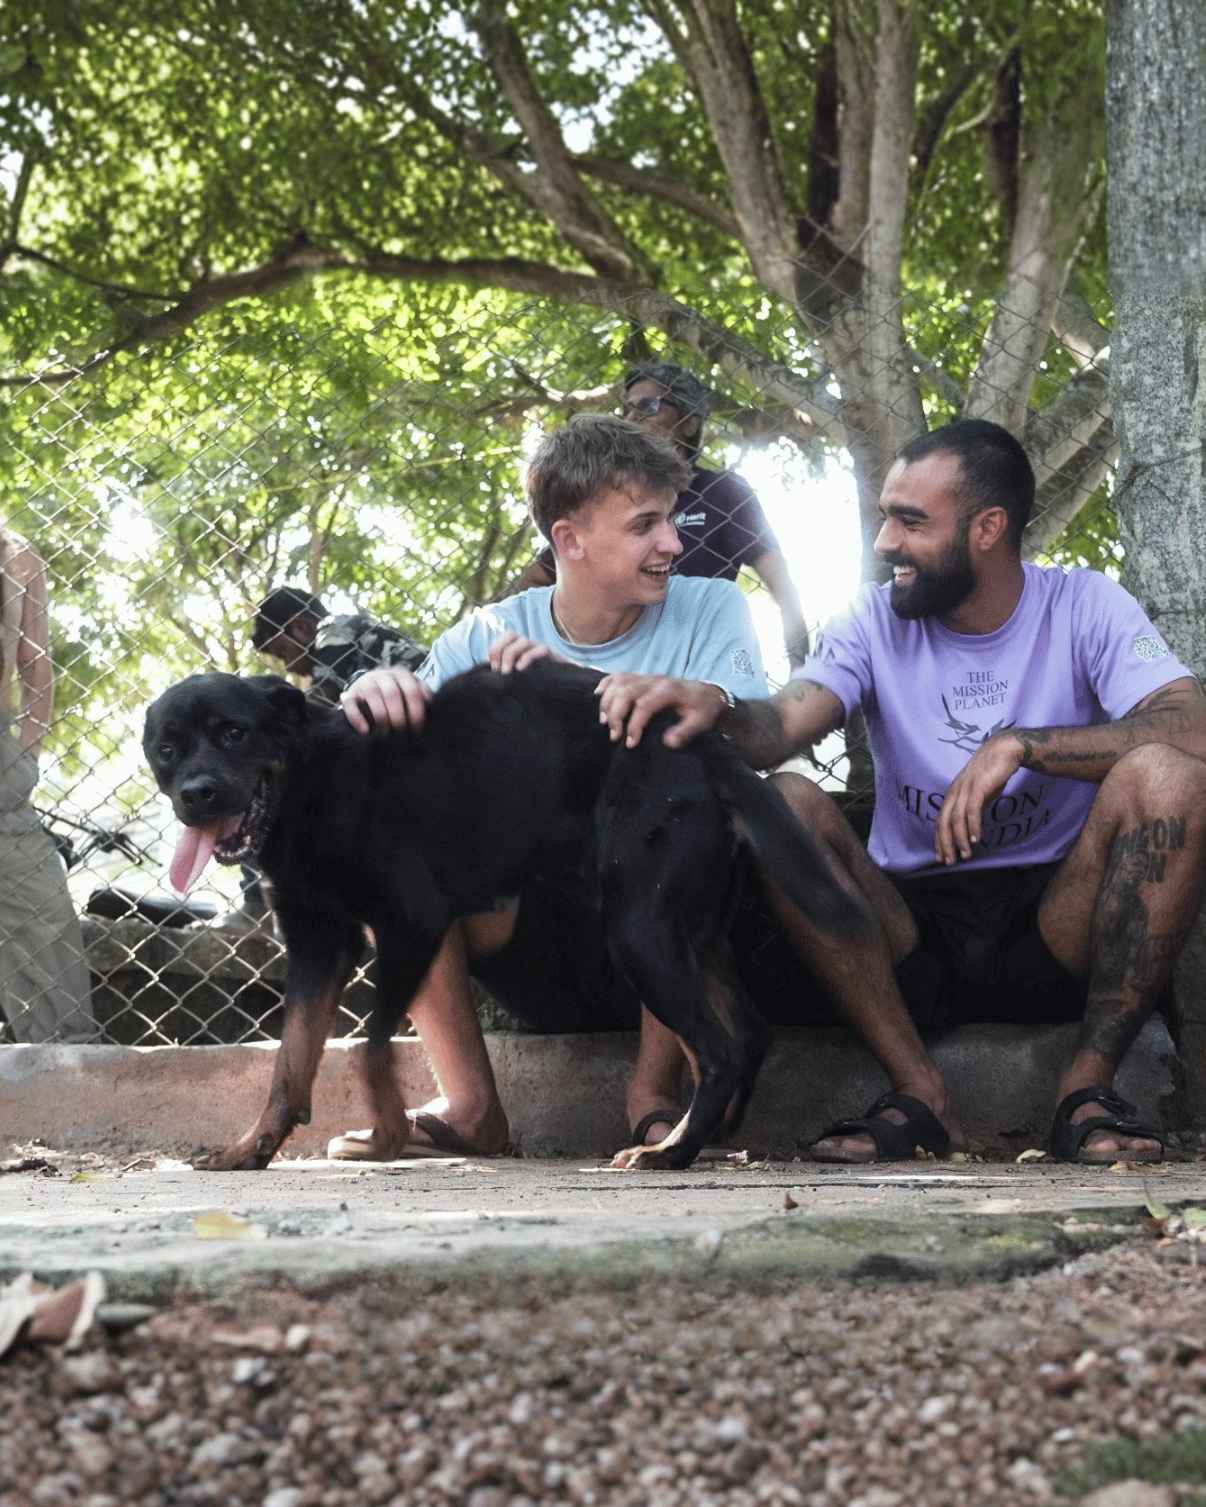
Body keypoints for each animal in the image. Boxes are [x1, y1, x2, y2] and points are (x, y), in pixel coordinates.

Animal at [143, 662, 863, 1170]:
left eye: (235, 732)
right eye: (166, 749)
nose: (196, 795)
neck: (308, 789)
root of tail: (706, 752)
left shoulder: (413, 920)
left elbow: (370, 1047)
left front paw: (387, 1134)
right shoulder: (321, 946)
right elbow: (289, 1064)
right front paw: (250, 1150)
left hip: (640, 932)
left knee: (717, 1051)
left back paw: (670, 1152)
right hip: (695, 931)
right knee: (750, 1033)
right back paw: (715, 1135)